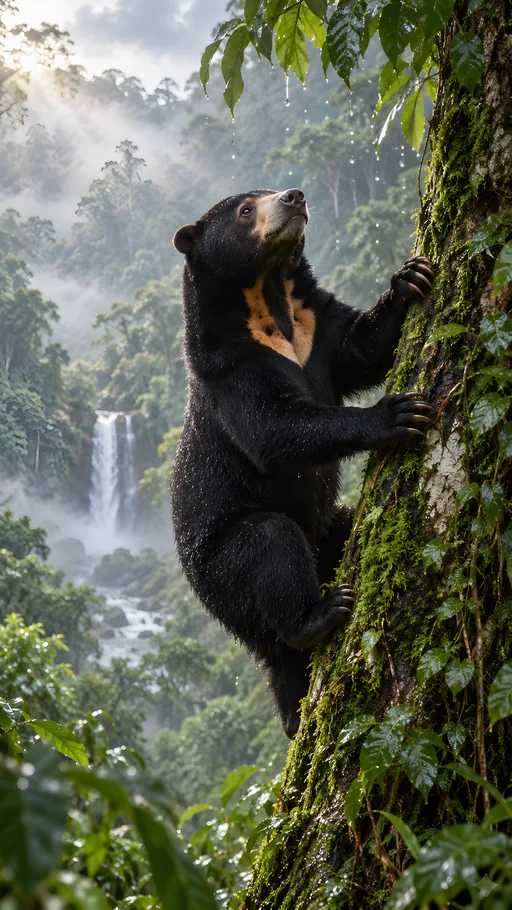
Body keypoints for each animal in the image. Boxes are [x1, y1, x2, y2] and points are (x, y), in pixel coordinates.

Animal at [171, 188, 434, 738]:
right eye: (246, 210)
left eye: (269, 189)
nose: (295, 196)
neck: (269, 297)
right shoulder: (233, 371)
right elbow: (276, 429)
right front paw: (396, 413)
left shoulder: (318, 327)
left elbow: (359, 350)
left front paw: (410, 279)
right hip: (220, 569)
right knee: (270, 546)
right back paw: (321, 615)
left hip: (325, 532)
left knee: (342, 524)